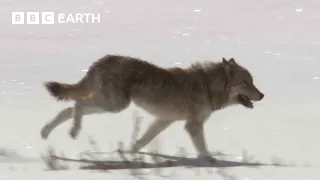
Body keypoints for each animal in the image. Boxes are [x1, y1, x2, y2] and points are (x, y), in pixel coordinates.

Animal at [40, 54, 264, 162]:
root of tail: (103, 59)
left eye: (253, 82)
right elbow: (203, 149)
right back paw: (73, 132)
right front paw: (210, 162)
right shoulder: (193, 126)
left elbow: (143, 140)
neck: (209, 86)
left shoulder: (164, 120)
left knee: (68, 109)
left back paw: (46, 132)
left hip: (110, 104)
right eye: (246, 83)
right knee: (77, 105)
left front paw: (127, 154)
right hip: (115, 105)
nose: (262, 95)